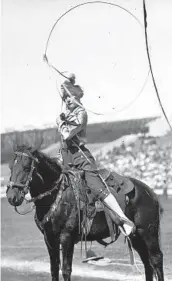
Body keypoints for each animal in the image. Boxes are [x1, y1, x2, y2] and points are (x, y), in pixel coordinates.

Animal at [5, 144, 164, 280]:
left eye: (26, 167)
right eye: (11, 167)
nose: (12, 197)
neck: (56, 196)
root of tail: (151, 192)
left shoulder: (66, 238)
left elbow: (66, 270)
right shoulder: (49, 239)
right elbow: (54, 269)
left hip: (147, 232)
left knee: (156, 259)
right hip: (136, 236)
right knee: (147, 262)